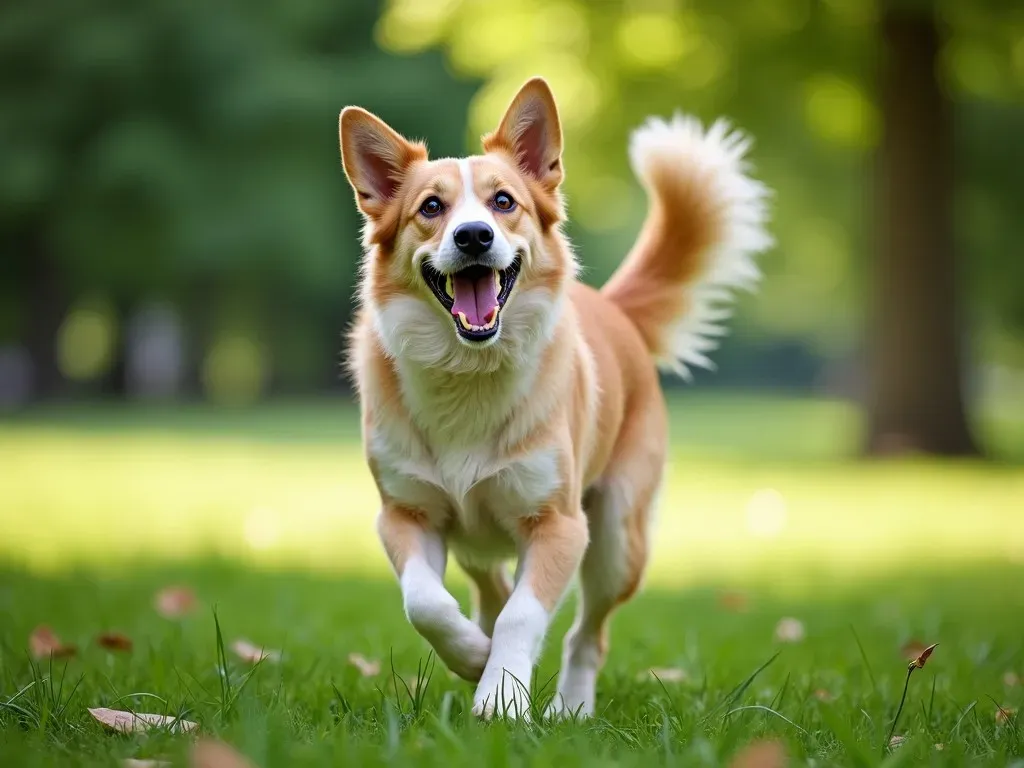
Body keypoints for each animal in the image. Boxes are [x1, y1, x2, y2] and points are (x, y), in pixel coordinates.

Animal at [335, 75, 770, 720]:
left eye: (503, 202)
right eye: (431, 208)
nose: (473, 236)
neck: (469, 371)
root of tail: (614, 308)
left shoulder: (560, 526)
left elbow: (523, 614)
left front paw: (499, 697)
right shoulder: (405, 513)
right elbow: (426, 603)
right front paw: (474, 657)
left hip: (617, 540)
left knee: (587, 634)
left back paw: (572, 708)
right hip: (479, 541)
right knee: (488, 591)